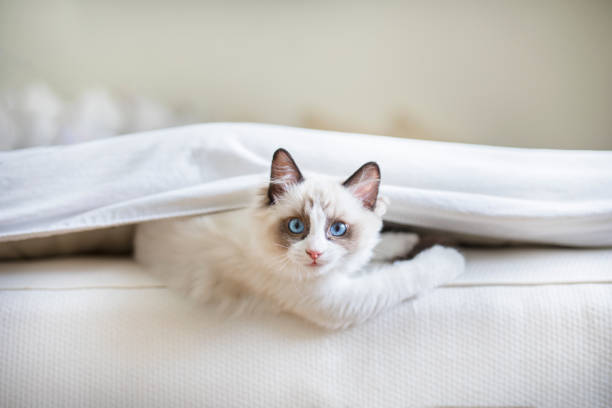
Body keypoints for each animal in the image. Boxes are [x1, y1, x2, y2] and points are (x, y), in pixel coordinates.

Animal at [135, 148, 464, 330]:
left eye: (338, 230)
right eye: (296, 226)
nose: (315, 254)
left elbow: (378, 247)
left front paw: (409, 238)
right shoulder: (339, 301)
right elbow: (407, 275)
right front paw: (451, 254)